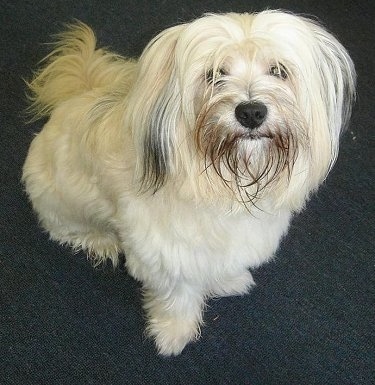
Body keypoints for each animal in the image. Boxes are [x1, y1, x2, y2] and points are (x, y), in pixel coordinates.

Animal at [22, 11, 356, 354]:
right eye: (214, 74)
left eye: (278, 71)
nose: (251, 112)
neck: (227, 184)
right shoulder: (166, 256)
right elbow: (178, 298)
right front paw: (174, 333)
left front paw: (228, 282)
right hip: (61, 203)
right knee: (67, 230)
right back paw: (101, 240)